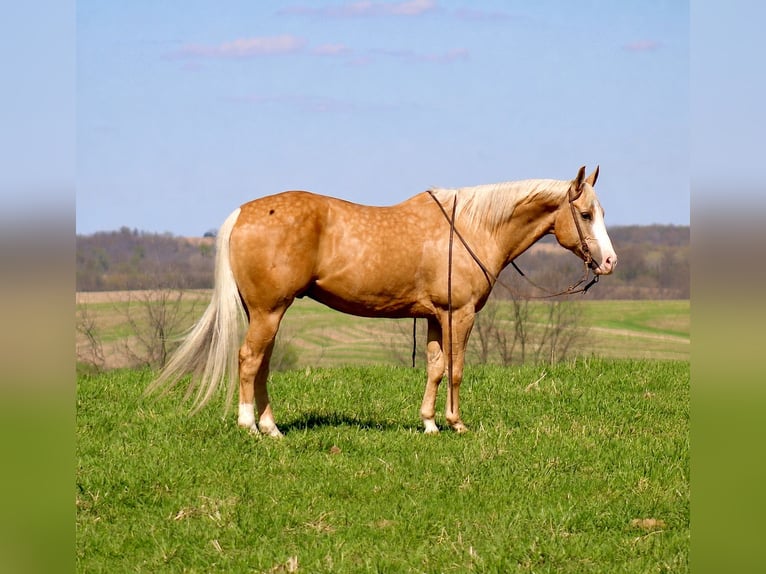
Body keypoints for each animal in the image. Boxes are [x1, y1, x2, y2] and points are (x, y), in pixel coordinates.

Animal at [149, 165, 617, 436]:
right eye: (586, 214)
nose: (609, 261)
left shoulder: (435, 316)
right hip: (269, 310)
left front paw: (429, 424)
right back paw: (250, 425)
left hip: (264, 312)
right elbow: (457, 370)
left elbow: (435, 367)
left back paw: (271, 428)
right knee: (249, 360)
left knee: (260, 363)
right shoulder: (460, 315)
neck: (472, 226)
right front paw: (456, 423)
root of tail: (244, 213)